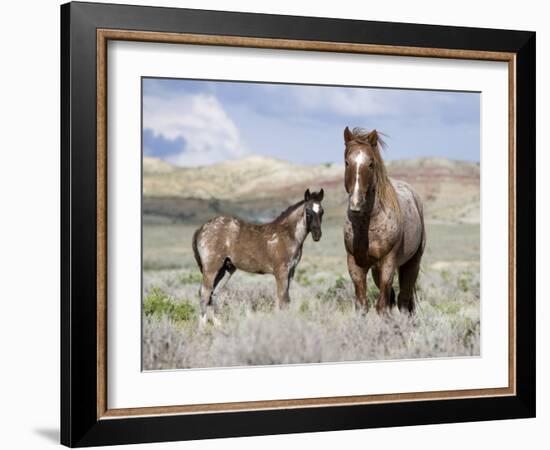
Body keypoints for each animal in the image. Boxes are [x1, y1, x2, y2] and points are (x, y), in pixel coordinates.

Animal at [193, 188, 326, 326]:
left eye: (322, 211)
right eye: (308, 211)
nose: (317, 235)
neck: (288, 235)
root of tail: (201, 228)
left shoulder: (290, 272)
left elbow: (286, 299)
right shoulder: (281, 272)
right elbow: (282, 299)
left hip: (226, 269)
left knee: (214, 293)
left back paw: (218, 325)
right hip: (211, 268)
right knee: (205, 293)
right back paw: (202, 328)